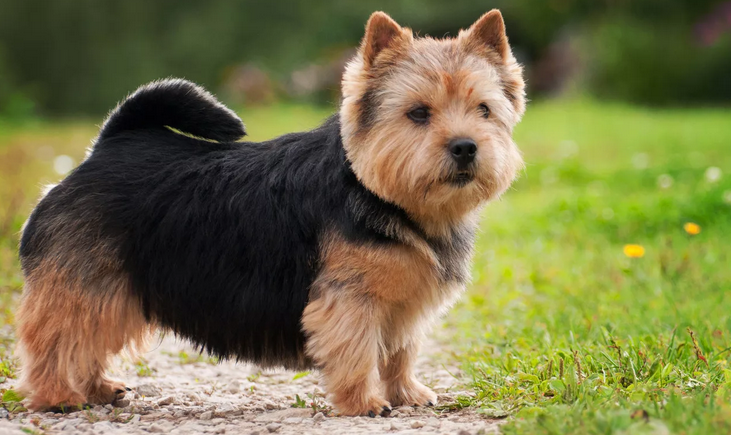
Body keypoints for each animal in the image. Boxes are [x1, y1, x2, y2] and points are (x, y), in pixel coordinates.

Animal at [14, 10, 524, 418]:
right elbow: (359, 350)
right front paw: (364, 403)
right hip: (88, 283)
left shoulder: (403, 303)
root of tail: (107, 146)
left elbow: (400, 352)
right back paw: (59, 396)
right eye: (418, 113)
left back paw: (99, 388)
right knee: (56, 338)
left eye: (483, 109)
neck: (381, 192)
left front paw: (407, 393)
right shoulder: (351, 300)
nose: (465, 146)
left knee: (86, 342)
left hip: (111, 287)